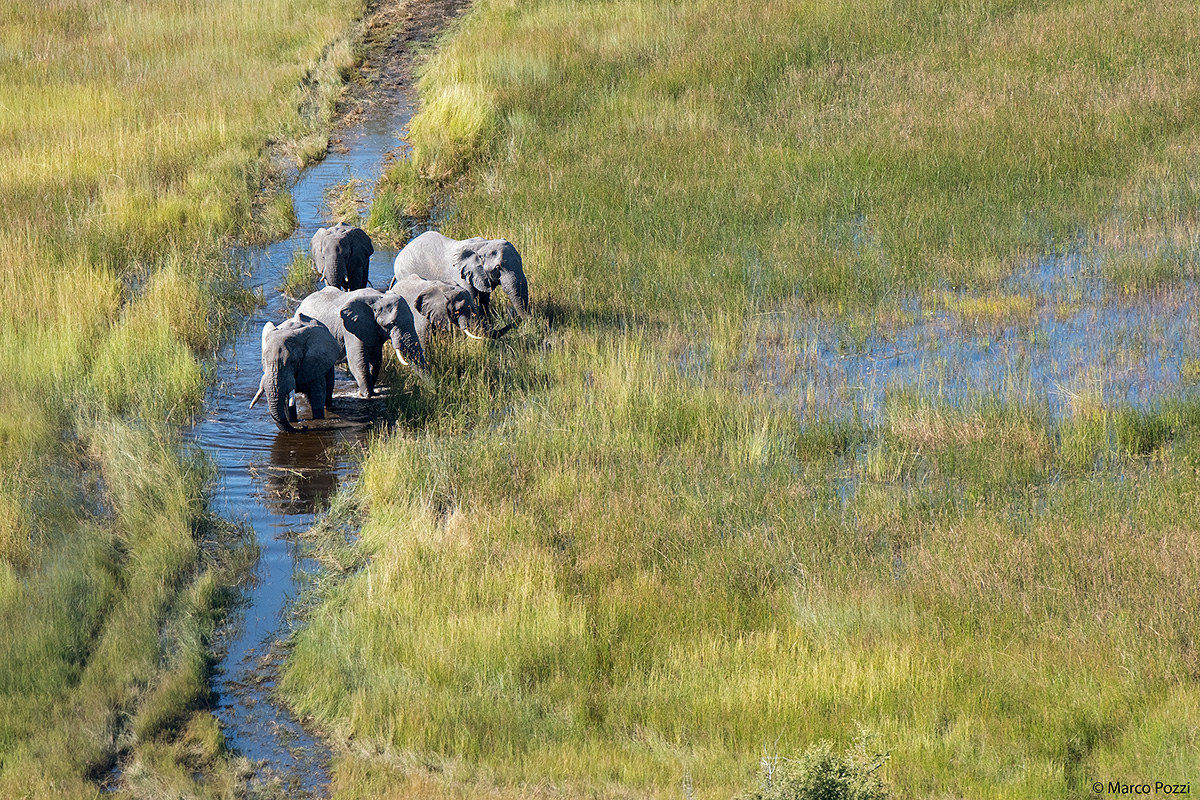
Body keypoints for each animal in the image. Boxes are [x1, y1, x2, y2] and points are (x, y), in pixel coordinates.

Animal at [295, 286, 426, 398]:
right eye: (391, 324)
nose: (428, 389)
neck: (378, 298)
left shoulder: (373, 330)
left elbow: (376, 360)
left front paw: (371, 391)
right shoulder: (350, 329)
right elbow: (357, 361)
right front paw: (366, 395)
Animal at [390, 231, 530, 326]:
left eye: (521, 261)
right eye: (497, 268)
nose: (528, 323)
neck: (483, 245)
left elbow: (484, 299)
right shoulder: (461, 277)